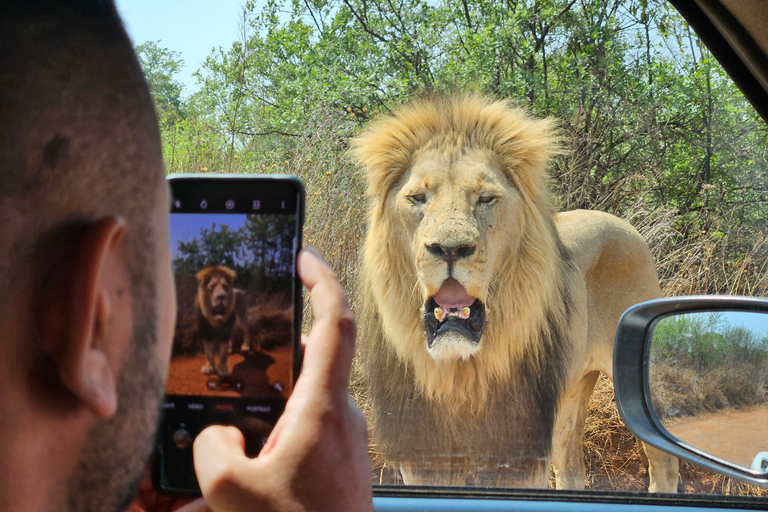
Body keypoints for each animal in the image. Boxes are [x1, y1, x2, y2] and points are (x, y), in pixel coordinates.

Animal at [350, 96, 680, 492]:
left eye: (486, 198)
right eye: (417, 197)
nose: (449, 249)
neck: (461, 373)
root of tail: (622, 223)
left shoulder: (521, 451)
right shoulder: (423, 453)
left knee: (665, 462)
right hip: (570, 393)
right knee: (571, 468)